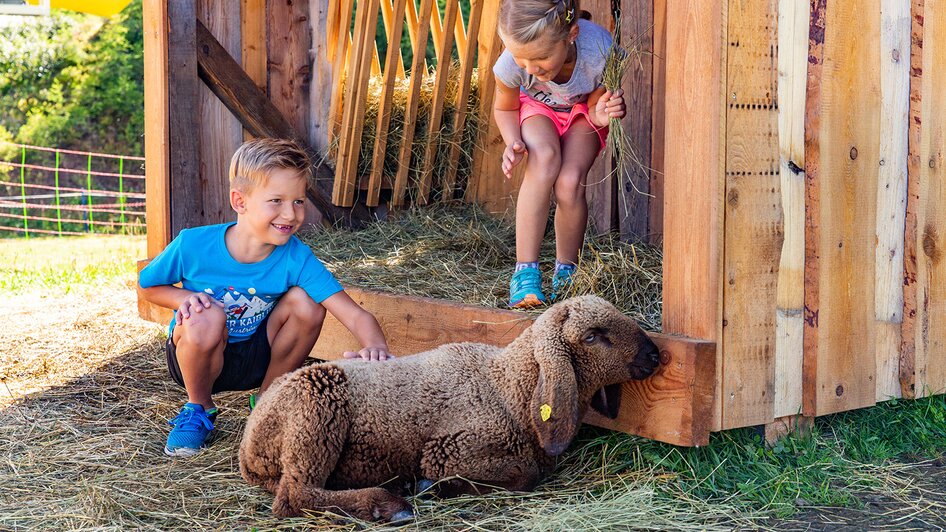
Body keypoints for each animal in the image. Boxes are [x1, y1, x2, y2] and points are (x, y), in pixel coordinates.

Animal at [240, 298, 660, 520]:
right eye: (592, 336)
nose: (655, 354)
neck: (507, 387)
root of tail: (249, 448)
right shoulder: (449, 450)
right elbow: (525, 475)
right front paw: (434, 486)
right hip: (315, 407)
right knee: (295, 496)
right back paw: (388, 505)